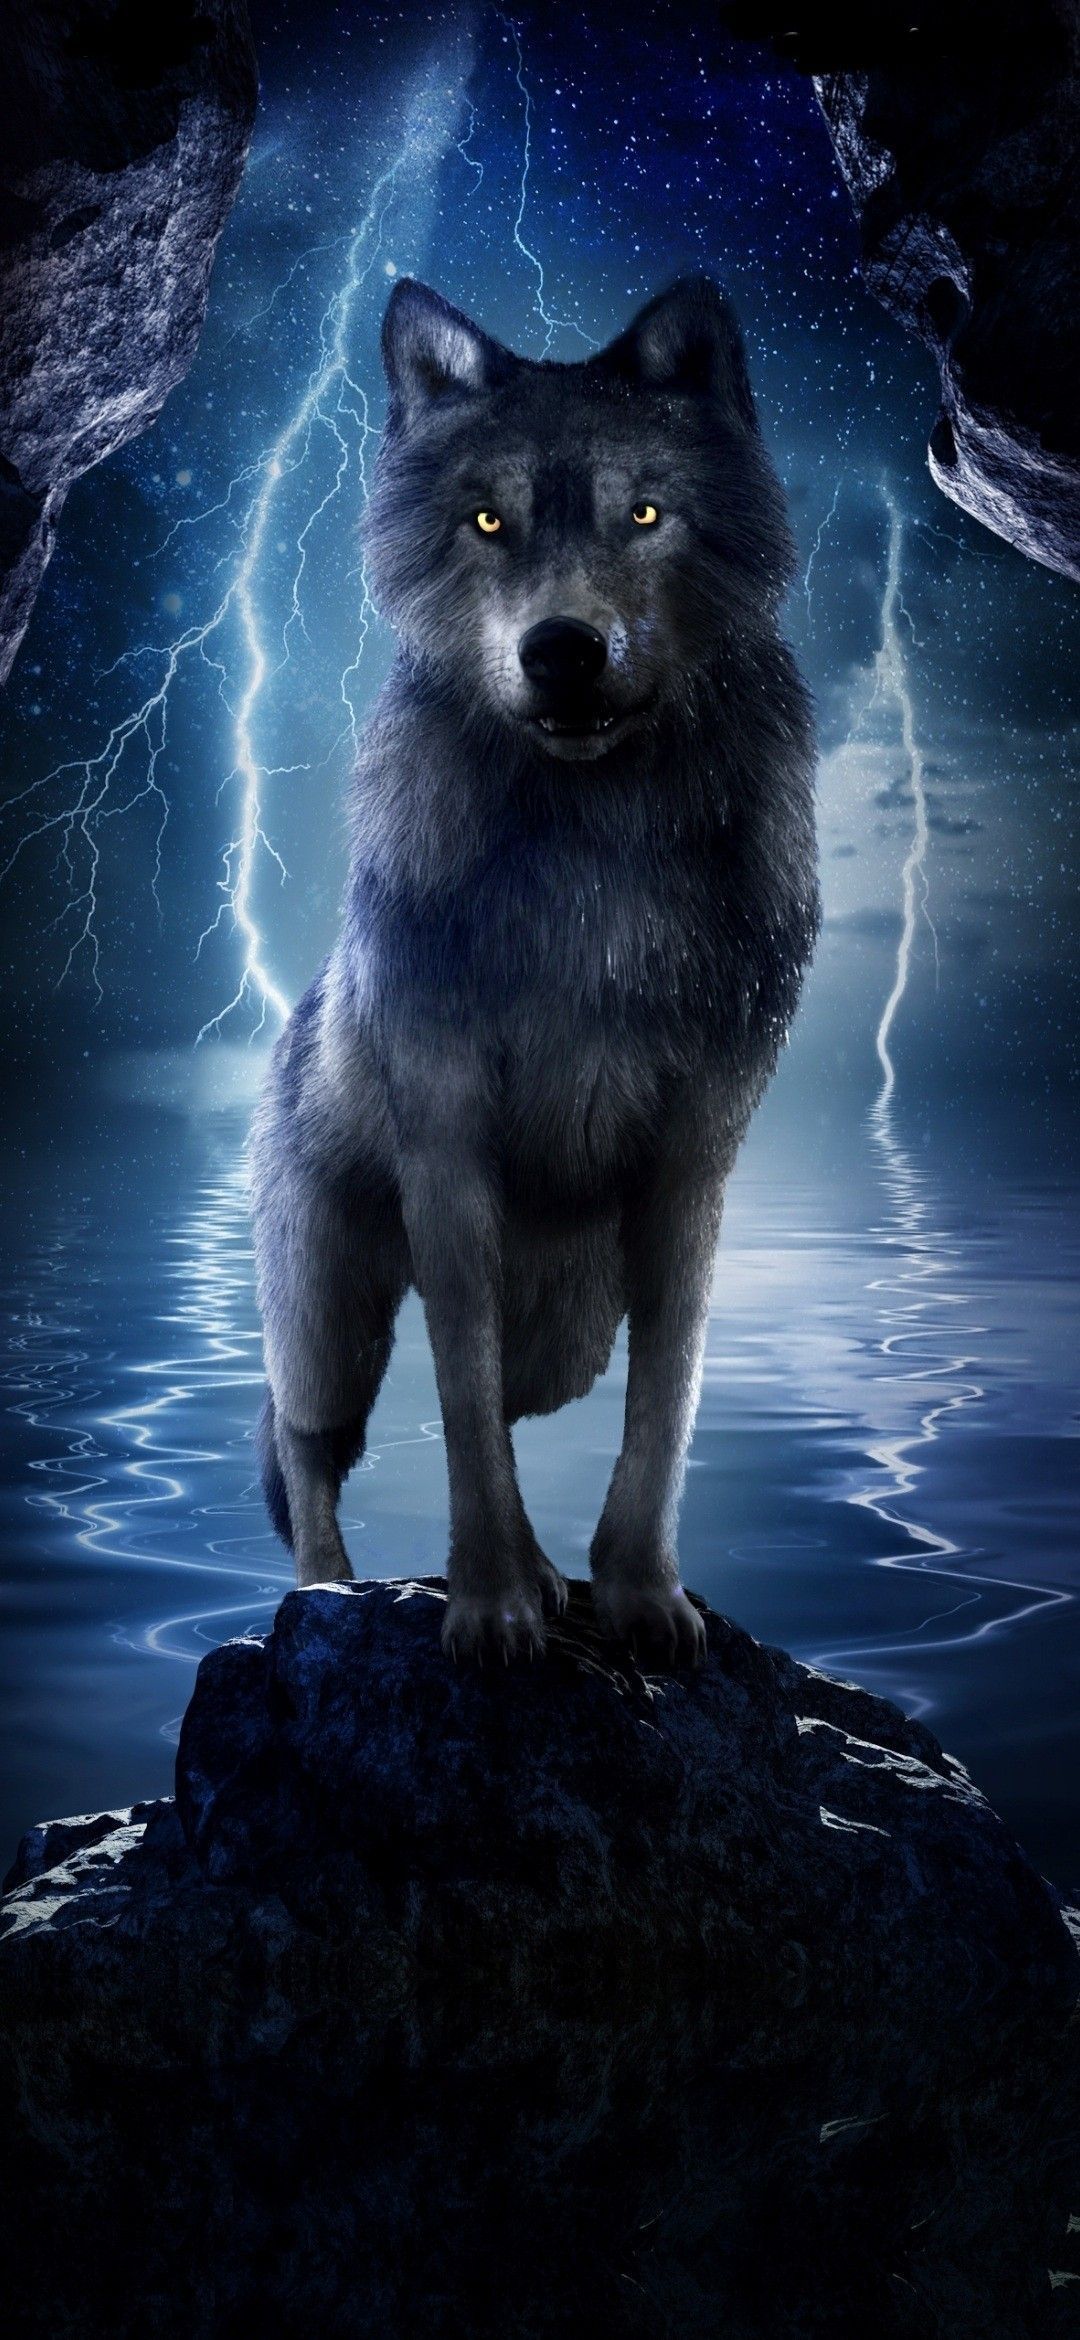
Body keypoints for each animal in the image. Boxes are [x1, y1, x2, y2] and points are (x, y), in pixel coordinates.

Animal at [249, 273, 819, 1666]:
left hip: (563, 1327)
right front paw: (495, 1605)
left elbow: (664, 1405)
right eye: (488, 520)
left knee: (517, 1408)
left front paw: (639, 1599)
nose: (563, 648)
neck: (594, 861)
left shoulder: (695, 1157)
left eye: (647, 513)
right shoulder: (448, 1149)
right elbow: (458, 1405)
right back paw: (324, 1596)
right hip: (331, 1313)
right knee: (306, 1447)